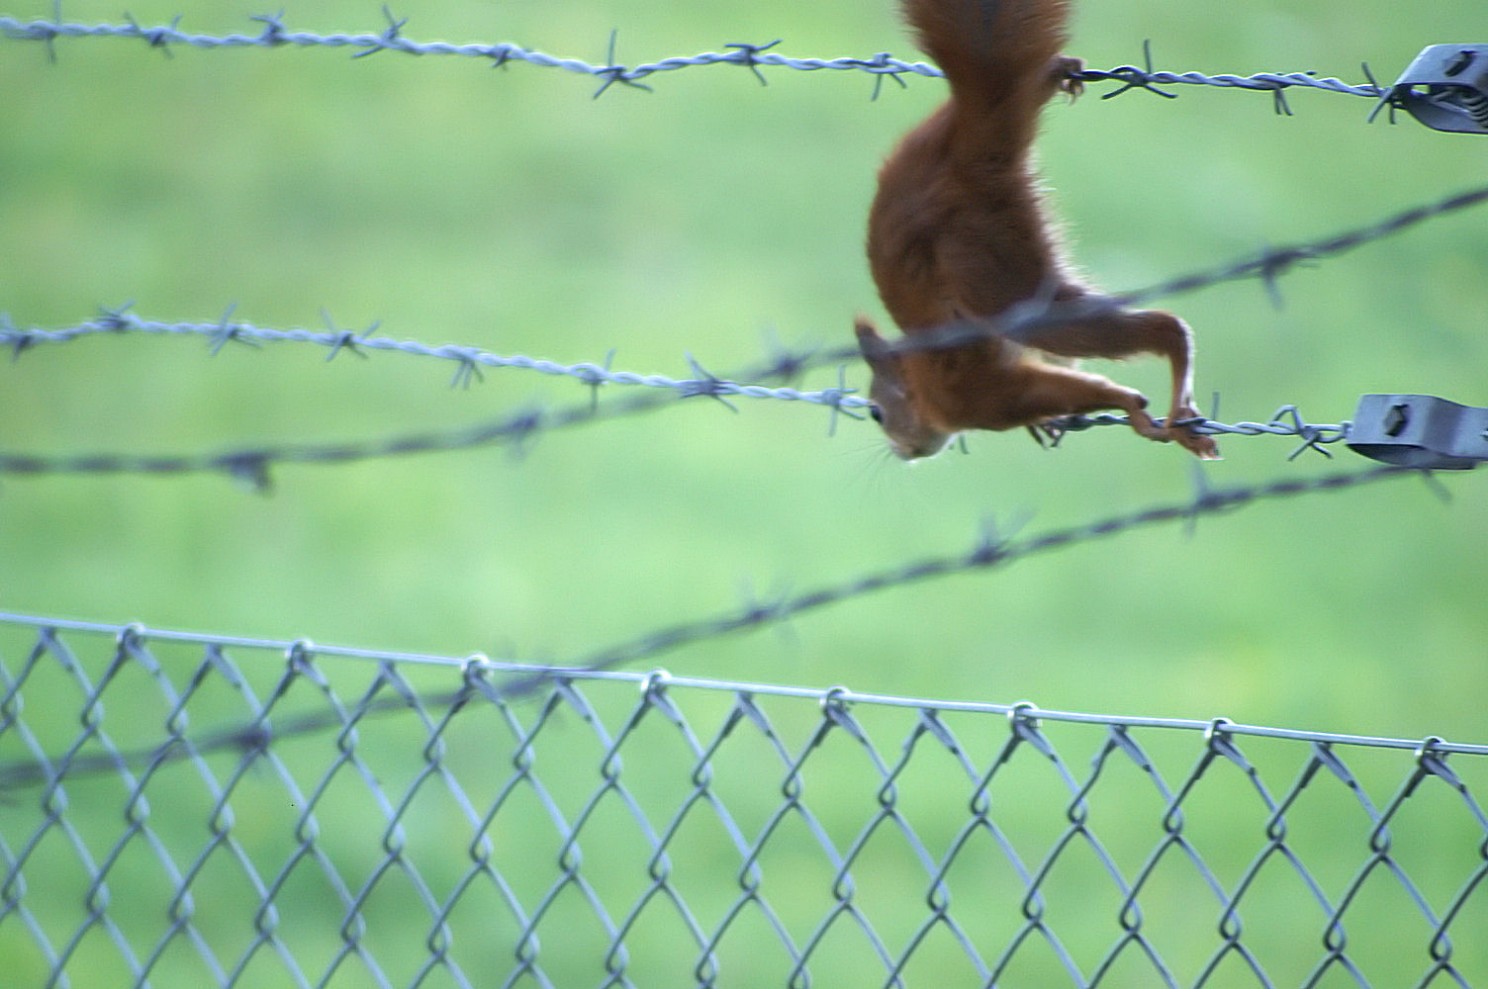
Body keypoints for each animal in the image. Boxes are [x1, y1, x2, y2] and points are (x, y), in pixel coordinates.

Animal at [863, 0, 1220, 461]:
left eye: (876, 412)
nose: (899, 451)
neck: (920, 380)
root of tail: (964, 153)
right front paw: (1050, 422)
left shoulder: (978, 396)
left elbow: (1057, 391)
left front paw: (1127, 405)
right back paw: (1055, 73)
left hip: (995, 272)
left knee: (1153, 327)